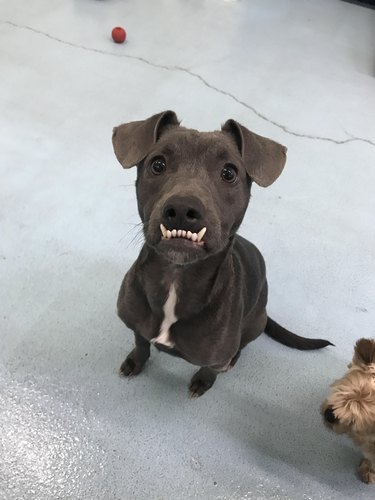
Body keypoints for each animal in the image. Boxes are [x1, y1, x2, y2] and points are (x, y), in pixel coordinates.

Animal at [111, 111, 332, 396]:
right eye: (157, 164)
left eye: (229, 172)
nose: (182, 209)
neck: (175, 277)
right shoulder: (136, 325)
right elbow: (141, 343)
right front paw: (134, 361)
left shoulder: (216, 357)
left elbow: (210, 369)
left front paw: (203, 382)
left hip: (256, 322)